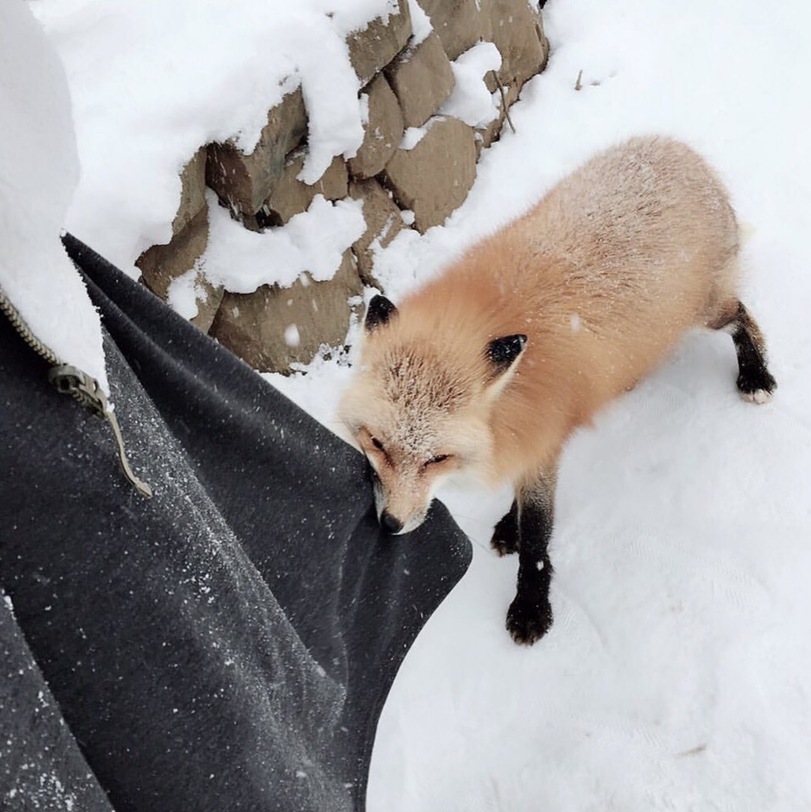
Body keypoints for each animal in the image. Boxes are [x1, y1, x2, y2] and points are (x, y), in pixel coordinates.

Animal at [340, 138, 776, 648]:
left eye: (437, 459)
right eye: (376, 443)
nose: (390, 525)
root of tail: (680, 150)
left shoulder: (543, 439)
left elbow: (538, 537)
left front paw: (531, 607)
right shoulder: (527, 433)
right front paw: (508, 526)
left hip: (705, 311)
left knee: (742, 313)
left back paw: (756, 374)